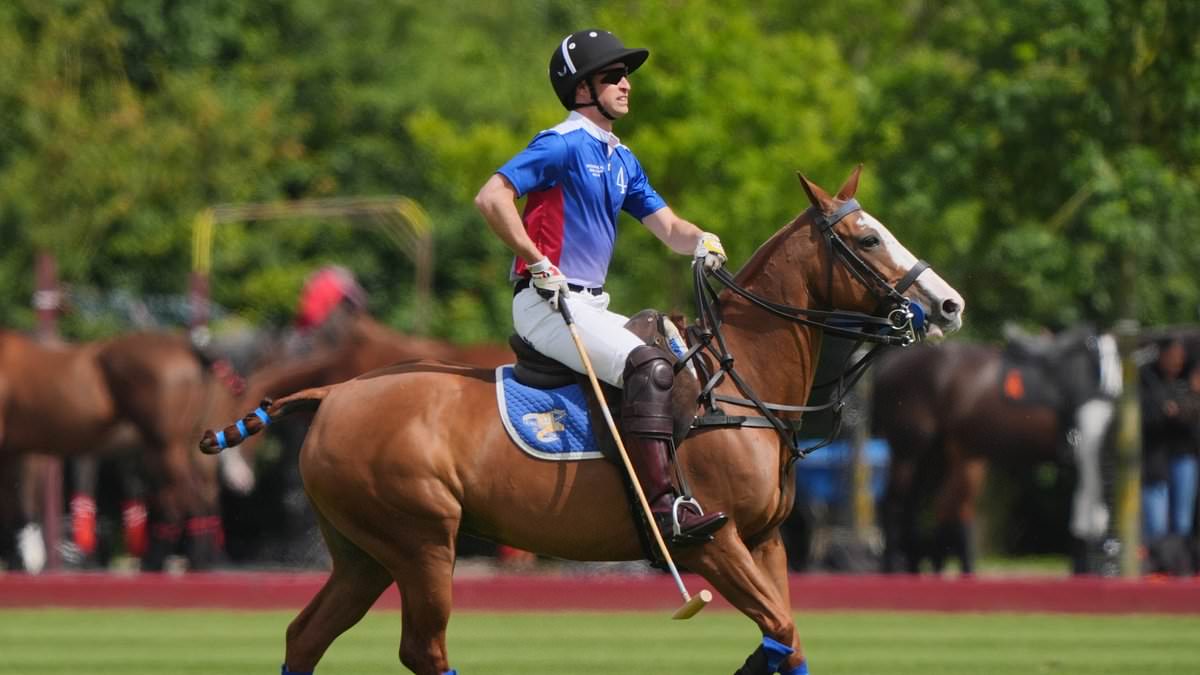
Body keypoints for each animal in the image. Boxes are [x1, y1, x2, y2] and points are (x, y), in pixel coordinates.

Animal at [201, 166, 960, 672]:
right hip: (420, 540)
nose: (950, 305)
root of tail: (331, 393)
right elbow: (779, 630)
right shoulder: (712, 542)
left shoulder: (766, 541)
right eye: (867, 237)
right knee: (422, 647)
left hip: (364, 550)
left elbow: (790, 639)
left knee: (305, 635)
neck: (741, 381)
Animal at [868, 326, 1118, 571]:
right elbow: (1089, 519)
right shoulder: (1085, 451)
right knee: (894, 507)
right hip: (910, 452)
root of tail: (889, 363)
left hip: (934, 457)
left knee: (920, 510)